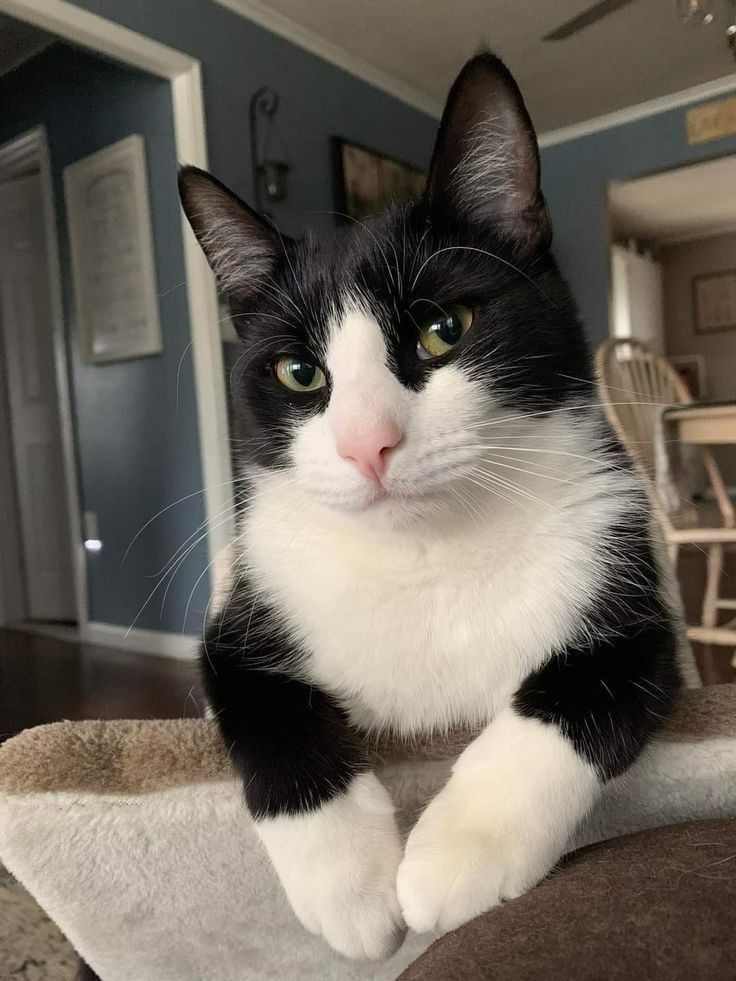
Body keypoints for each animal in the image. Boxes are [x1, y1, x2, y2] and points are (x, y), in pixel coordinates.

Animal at [178, 51, 680, 956]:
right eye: (299, 372)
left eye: (445, 326)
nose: (366, 443)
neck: (425, 557)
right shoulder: (247, 611)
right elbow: (261, 704)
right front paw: (350, 887)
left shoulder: (629, 589)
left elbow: (577, 692)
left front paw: (454, 856)